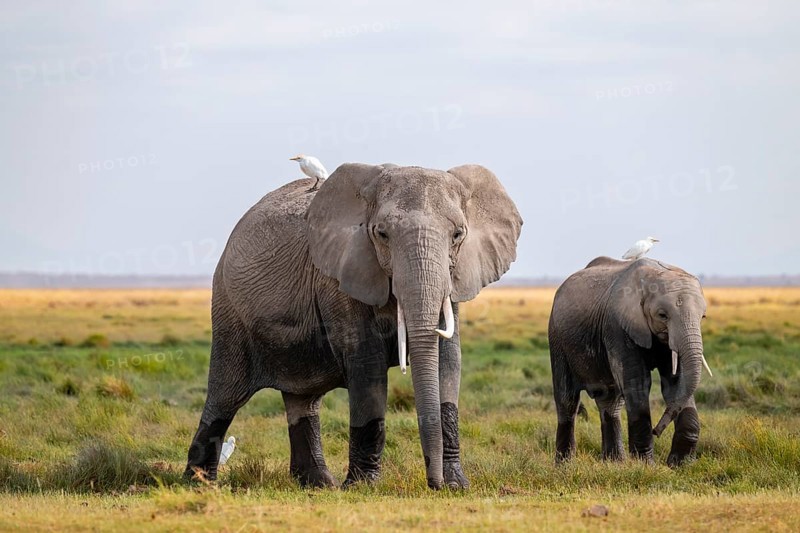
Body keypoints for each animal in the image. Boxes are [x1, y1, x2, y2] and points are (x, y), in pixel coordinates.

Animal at [183, 162, 522, 489]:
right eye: (382, 234)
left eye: (458, 235)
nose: (433, 484)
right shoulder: (341, 277)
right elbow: (367, 366)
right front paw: (363, 487)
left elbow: (447, 362)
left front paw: (456, 485)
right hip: (229, 309)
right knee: (225, 397)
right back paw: (199, 484)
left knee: (303, 400)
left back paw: (319, 484)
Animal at [548, 256, 711, 466]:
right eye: (662, 315)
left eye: (703, 316)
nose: (657, 431)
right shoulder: (617, 326)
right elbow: (638, 383)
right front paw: (646, 465)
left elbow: (675, 384)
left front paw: (680, 465)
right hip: (557, 338)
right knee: (567, 400)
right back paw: (564, 465)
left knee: (610, 402)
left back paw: (614, 463)